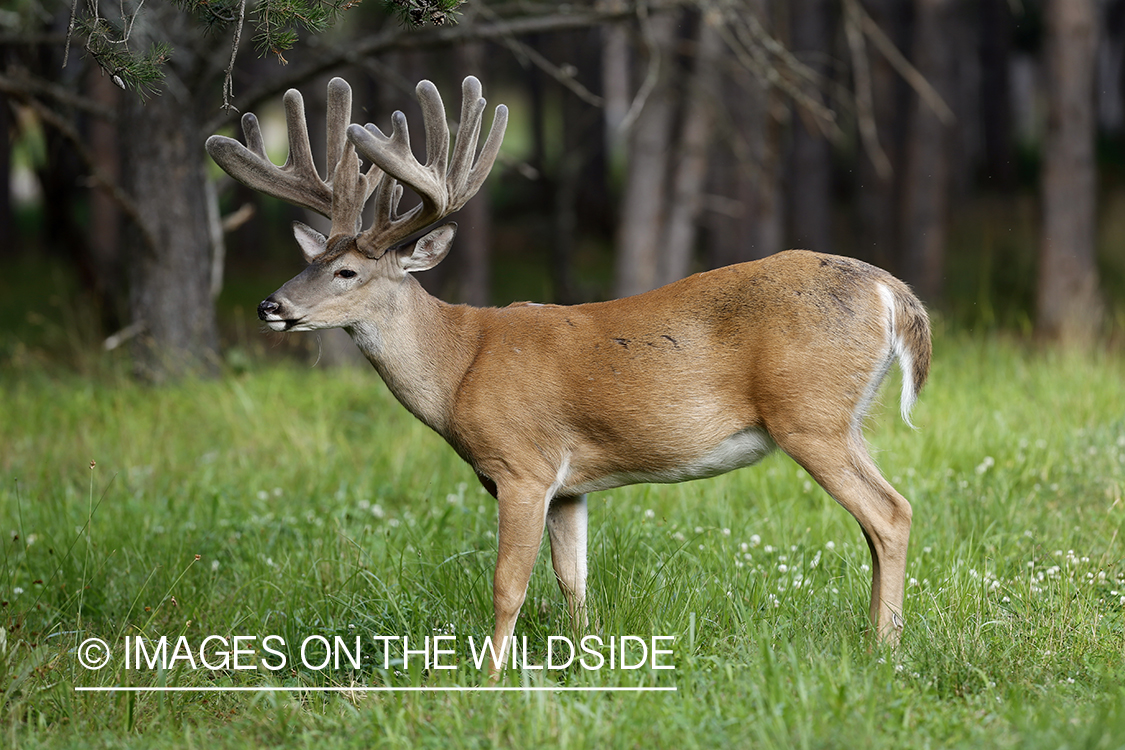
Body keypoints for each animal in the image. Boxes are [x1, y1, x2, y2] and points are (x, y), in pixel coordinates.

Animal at [207, 76, 927, 674]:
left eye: (346, 271)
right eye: (310, 260)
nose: (271, 306)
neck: (457, 364)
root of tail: (892, 292)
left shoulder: (521, 464)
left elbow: (509, 584)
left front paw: (490, 677)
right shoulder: (571, 486)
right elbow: (573, 580)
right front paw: (586, 660)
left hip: (810, 415)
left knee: (891, 512)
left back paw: (884, 649)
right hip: (843, 419)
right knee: (876, 522)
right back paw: (876, 635)